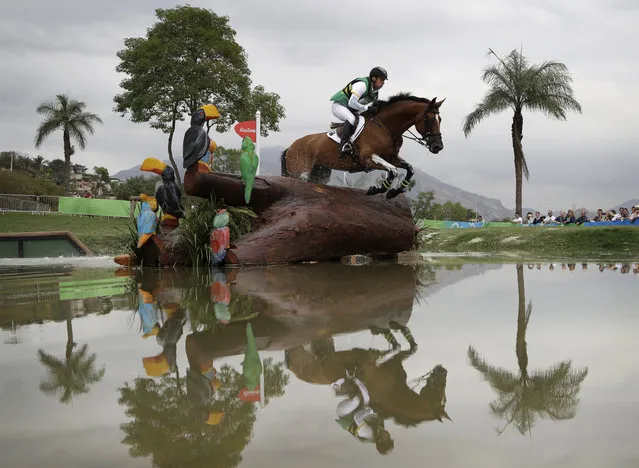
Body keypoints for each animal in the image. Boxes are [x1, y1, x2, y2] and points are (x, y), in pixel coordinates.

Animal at [280, 93, 444, 199]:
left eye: (440, 119)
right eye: (430, 119)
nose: (438, 147)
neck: (385, 127)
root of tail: (290, 147)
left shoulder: (391, 158)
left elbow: (409, 169)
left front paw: (393, 192)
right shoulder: (368, 158)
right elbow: (393, 171)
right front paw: (376, 189)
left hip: (320, 173)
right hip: (299, 172)